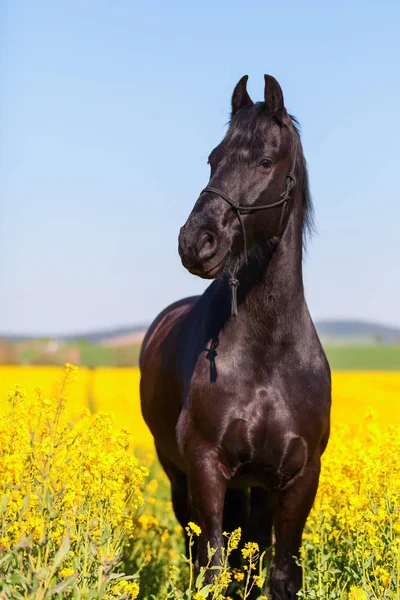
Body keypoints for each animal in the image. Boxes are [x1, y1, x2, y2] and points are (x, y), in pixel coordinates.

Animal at [141, 76, 332, 600]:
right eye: (213, 158)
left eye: (265, 161)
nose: (196, 242)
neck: (268, 353)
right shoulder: (206, 467)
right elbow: (214, 571)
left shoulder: (297, 477)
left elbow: (278, 574)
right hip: (179, 477)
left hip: (256, 487)